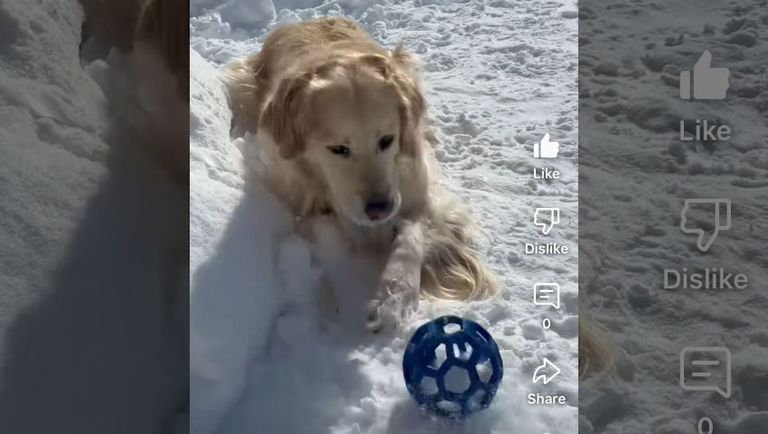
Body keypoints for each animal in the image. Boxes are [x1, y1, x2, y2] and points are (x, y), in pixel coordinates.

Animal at [224, 16, 498, 328]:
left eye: (387, 140)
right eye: (338, 149)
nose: (380, 208)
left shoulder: (418, 192)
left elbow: (411, 236)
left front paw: (394, 294)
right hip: (243, 81)